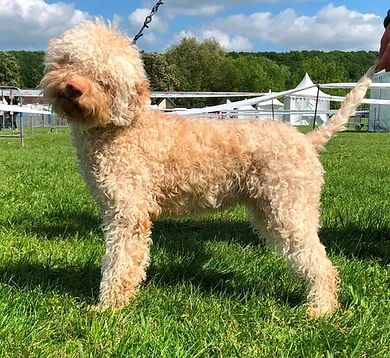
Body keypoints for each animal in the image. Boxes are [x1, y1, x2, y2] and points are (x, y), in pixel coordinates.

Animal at [41, 21, 374, 318]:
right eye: (69, 61)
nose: (72, 88)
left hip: (289, 208)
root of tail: (307, 140)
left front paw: (108, 306)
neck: (123, 128)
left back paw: (320, 309)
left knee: (321, 262)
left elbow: (120, 261)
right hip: (269, 210)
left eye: (104, 79)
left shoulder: (128, 213)